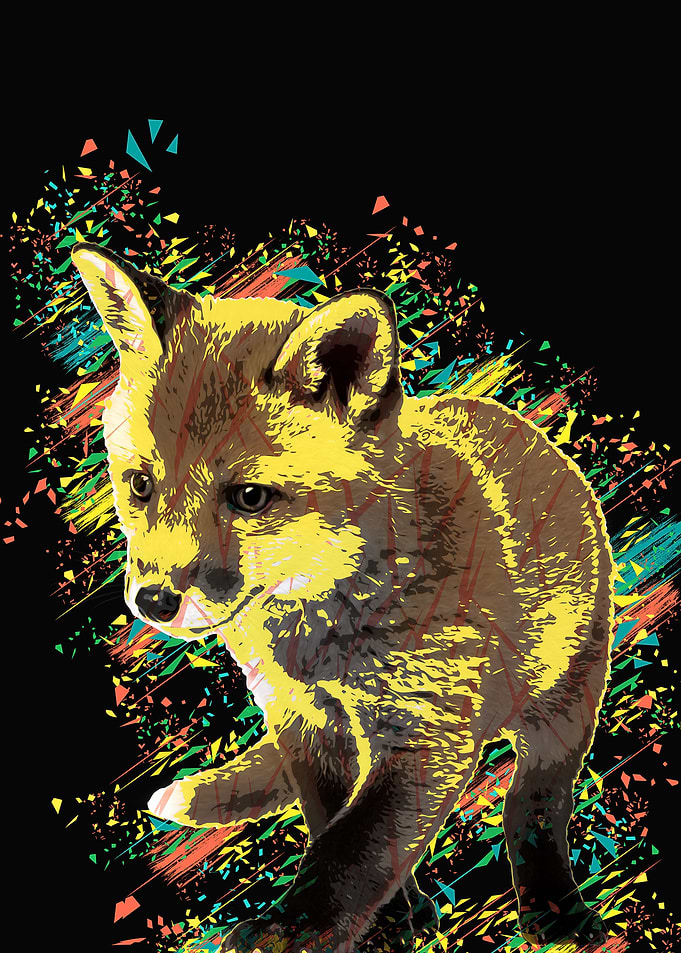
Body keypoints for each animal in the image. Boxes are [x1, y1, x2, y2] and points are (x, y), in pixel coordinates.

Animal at [71, 242, 615, 953]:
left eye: (250, 498)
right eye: (139, 485)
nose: (154, 601)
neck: (321, 638)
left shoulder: (429, 730)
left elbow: (355, 851)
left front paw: (289, 930)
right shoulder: (302, 718)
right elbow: (330, 821)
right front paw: (392, 923)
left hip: (566, 699)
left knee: (536, 800)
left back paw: (553, 908)